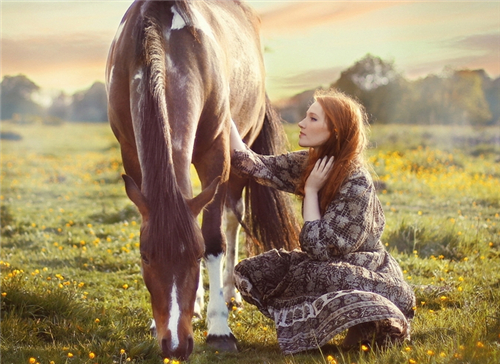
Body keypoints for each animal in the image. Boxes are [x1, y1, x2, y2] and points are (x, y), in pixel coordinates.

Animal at [106, 0, 298, 358]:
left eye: (194, 256)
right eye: (145, 256)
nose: (175, 345)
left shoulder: (217, 152)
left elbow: (213, 239)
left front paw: (220, 329)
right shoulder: (131, 152)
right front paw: (162, 320)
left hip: (240, 155)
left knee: (232, 217)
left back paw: (230, 294)